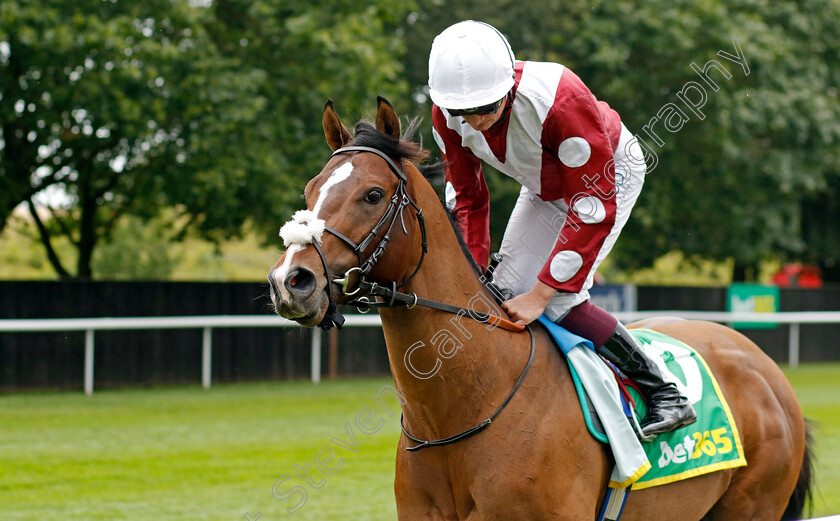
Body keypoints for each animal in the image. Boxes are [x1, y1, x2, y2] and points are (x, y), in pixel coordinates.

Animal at [270, 97, 812, 520]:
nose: (290, 281)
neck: (461, 412)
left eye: (373, 194)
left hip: (753, 505)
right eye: (310, 191)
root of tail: (763, 364)